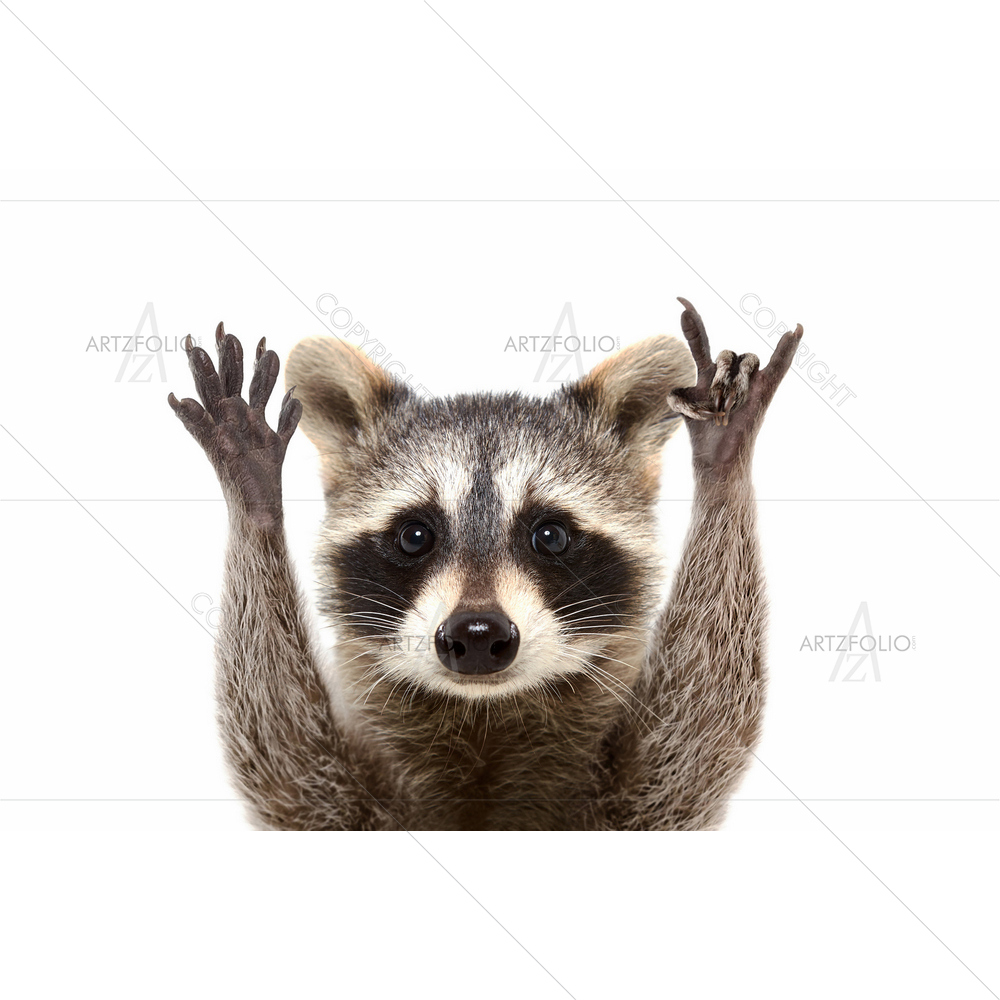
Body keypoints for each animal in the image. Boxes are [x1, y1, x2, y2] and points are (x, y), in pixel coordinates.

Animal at [168, 298, 803, 830]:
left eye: (550, 535)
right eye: (415, 536)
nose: (476, 634)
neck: (484, 721)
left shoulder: (635, 806)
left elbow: (698, 734)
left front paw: (723, 461)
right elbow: (284, 760)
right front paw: (253, 494)